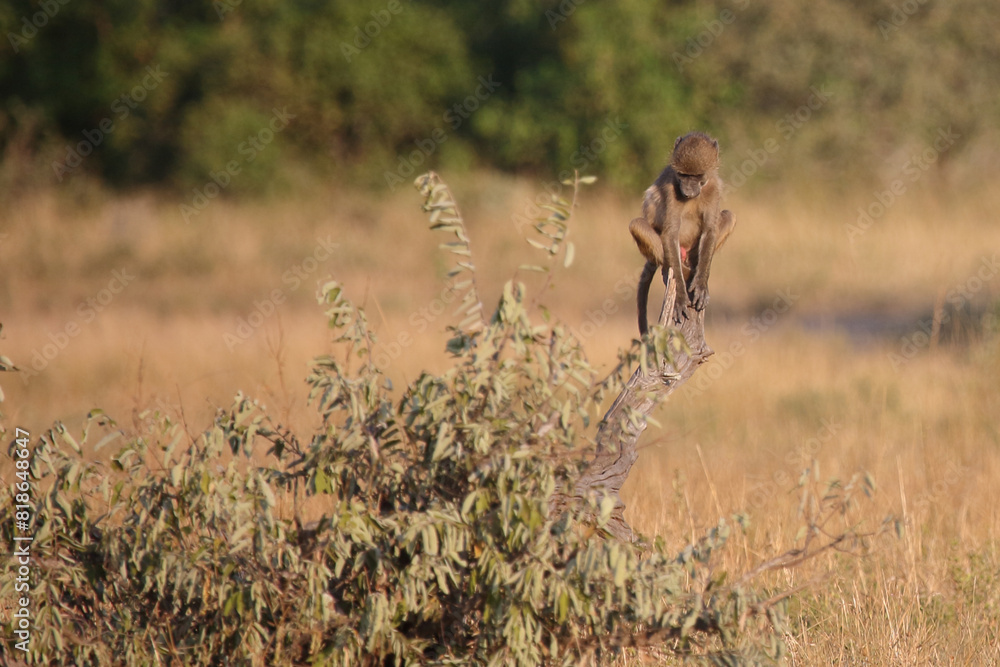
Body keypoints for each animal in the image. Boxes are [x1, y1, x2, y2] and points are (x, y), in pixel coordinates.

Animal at [629, 131, 736, 336]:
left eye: (697, 176)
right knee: (637, 224)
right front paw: (679, 296)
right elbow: (670, 233)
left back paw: (693, 269)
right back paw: (670, 271)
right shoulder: (671, 187)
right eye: (683, 175)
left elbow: (710, 229)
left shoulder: (714, 187)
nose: (687, 190)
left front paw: (701, 284)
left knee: (729, 215)